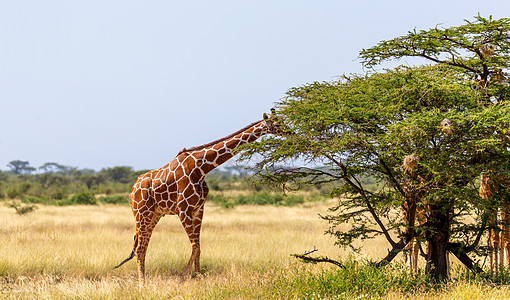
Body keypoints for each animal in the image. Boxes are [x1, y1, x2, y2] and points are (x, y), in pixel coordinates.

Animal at [113, 110, 284, 286]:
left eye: (283, 120)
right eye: (277, 124)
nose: (290, 132)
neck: (201, 168)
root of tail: (132, 190)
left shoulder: (198, 209)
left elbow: (199, 246)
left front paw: (199, 276)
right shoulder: (183, 209)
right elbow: (195, 245)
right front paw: (183, 278)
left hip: (154, 215)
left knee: (142, 245)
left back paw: (144, 279)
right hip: (141, 213)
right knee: (139, 247)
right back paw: (142, 283)